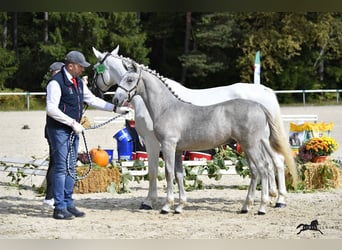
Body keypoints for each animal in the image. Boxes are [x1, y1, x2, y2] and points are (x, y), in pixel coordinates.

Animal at [92, 46, 298, 210]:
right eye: (121, 78)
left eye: (129, 80)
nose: (115, 100)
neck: (167, 106)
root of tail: (262, 98)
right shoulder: (176, 148)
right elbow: (178, 173)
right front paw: (179, 205)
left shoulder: (159, 144)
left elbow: (159, 171)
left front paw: (155, 203)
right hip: (254, 144)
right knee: (266, 166)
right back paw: (262, 201)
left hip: (255, 144)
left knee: (270, 165)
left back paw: (270, 203)